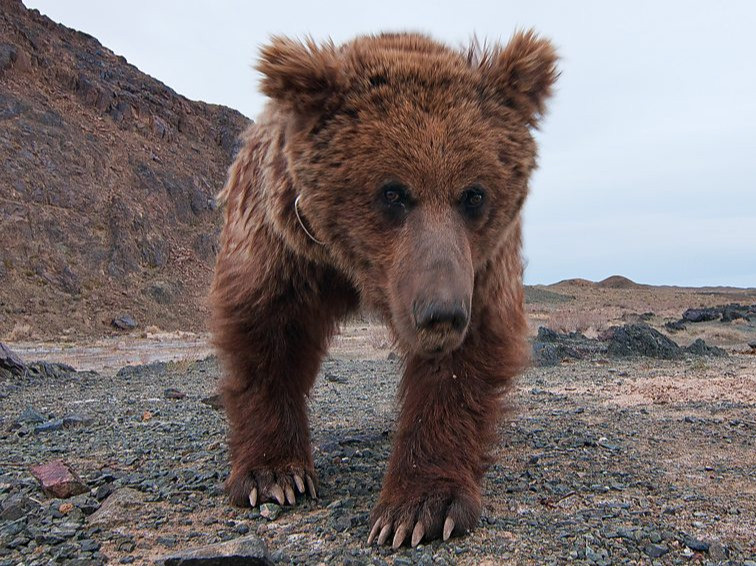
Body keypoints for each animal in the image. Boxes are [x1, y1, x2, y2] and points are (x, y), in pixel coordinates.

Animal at [210, 28, 560, 548]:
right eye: (392, 192)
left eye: (474, 194)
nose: (442, 312)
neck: (351, 268)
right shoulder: (281, 242)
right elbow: (266, 333)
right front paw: (273, 475)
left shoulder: (480, 262)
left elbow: (464, 360)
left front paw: (418, 509)